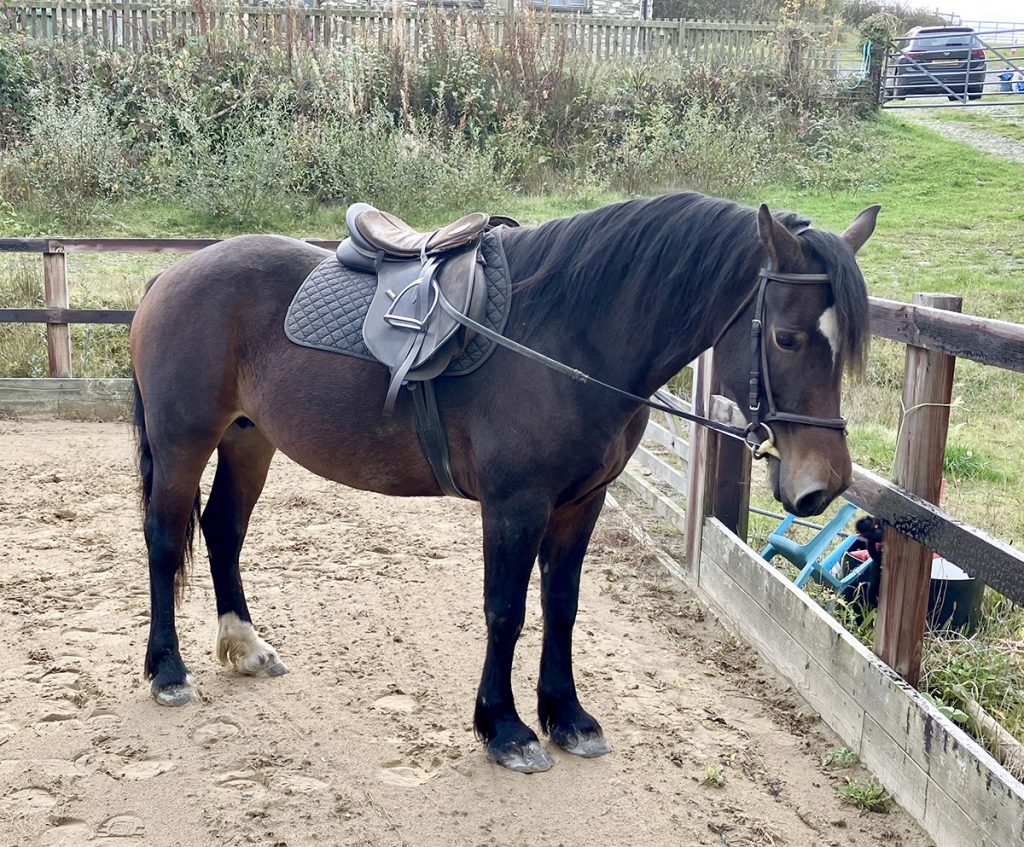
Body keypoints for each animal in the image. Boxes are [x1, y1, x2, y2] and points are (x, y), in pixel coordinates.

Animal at [129, 192, 877, 773]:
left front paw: (566, 715)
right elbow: (505, 611)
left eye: (846, 343)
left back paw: (245, 646)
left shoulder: (581, 503)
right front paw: (505, 727)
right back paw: (167, 671)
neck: (568, 338)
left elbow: (562, 606)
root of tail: (172, 275)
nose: (822, 484)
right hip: (183, 443)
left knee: (222, 531)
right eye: (785, 338)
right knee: (164, 542)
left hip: (248, 439)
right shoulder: (515, 505)